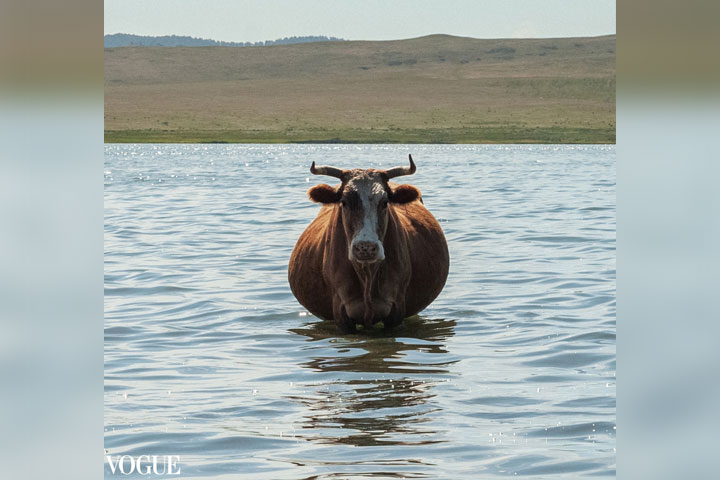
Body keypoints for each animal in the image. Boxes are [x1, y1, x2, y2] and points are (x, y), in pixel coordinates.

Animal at [288, 156, 448, 332]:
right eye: (344, 202)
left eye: (385, 202)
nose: (365, 247)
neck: (367, 274)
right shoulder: (341, 313)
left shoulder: (396, 309)